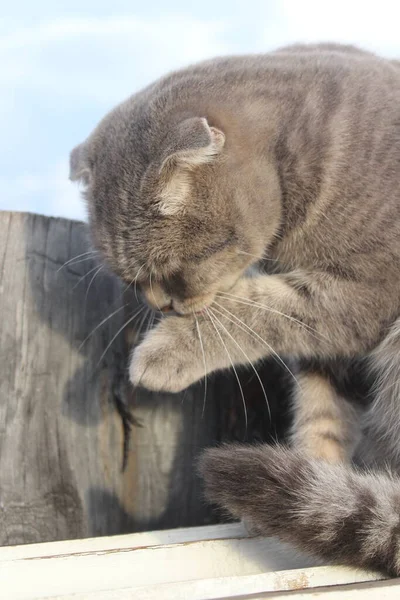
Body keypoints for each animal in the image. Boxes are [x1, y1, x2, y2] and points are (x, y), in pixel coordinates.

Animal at [70, 43, 400, 576]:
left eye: (176, 270)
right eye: (133, 280)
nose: (161, 302)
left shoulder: (359, 294)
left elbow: (253, 311)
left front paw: (164, 351)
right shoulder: (330, 345)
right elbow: (320, 413)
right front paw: (313, 475)